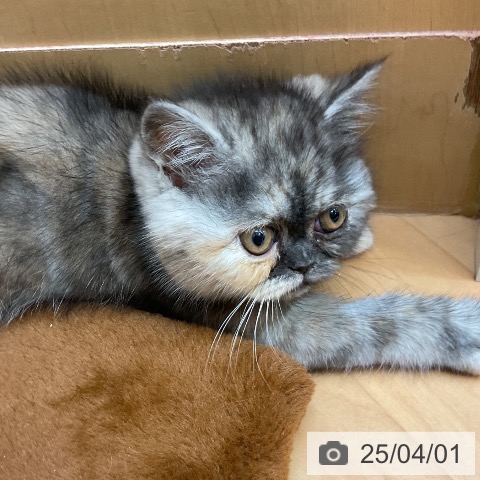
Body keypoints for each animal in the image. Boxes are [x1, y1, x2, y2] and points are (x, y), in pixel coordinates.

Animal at [0, 62, 479, 374]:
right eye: (258, 240)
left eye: (333, 217)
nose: (306, 265)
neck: (131, 201)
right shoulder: (240, 314)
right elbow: (379, 326)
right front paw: (467, 329)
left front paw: (360, 238)